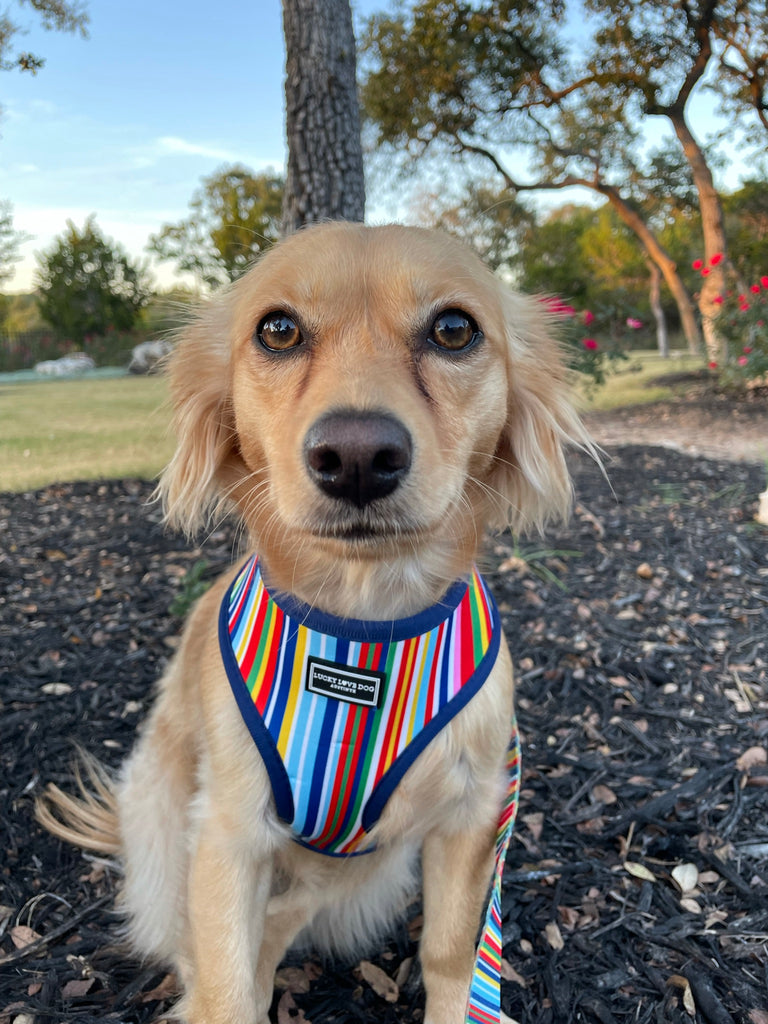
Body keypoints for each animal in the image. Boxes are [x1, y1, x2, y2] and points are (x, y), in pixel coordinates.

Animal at [39, 224, 593, 1024]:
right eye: (278, 330)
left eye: (454, 329)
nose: (357, 456)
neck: (363, 629)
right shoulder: (230, 834)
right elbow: (226, 987)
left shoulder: (470, 814)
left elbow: (453, 956)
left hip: (378, 860)